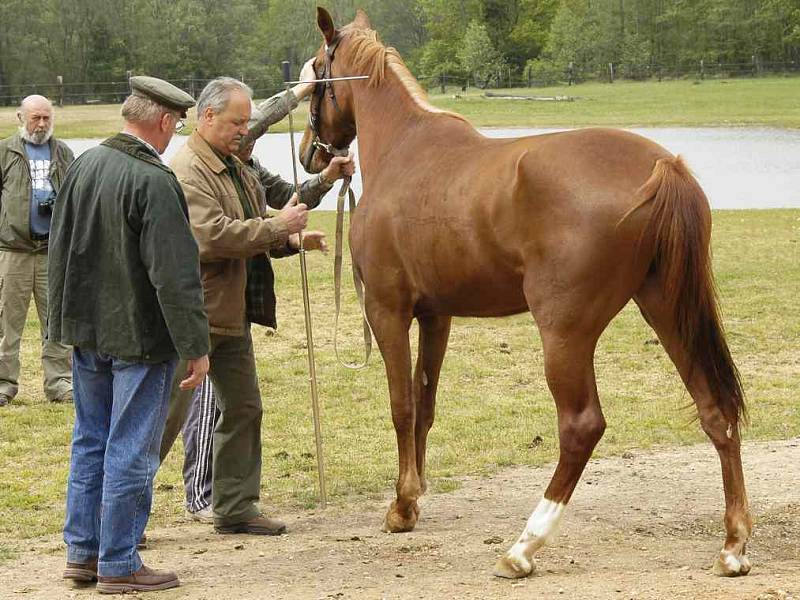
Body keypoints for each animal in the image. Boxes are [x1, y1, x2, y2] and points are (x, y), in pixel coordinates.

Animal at [304, 7, 752, 580]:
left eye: (317, 70)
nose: (310, 154)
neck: (406, 149)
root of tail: (662, 168)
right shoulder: (436, 315)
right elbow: (426, 403)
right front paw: (416, 495)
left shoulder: (388, 309)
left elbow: (401, 404)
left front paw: (401, 506)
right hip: (668, 312)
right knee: (716, 409)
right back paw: (733, 545)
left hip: (565, 332)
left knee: (582, 426)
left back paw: (523, 547)